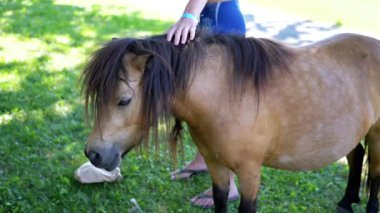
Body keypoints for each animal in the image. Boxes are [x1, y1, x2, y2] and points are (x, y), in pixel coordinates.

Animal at [81, 32, 380, 213]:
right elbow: (220, 201)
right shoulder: (216, 166)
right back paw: (346, 201)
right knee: (356, 157)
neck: (226, 96)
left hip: (377, 135)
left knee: (375, 174)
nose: (93, 154)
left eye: (124, 100)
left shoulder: (249, 173)